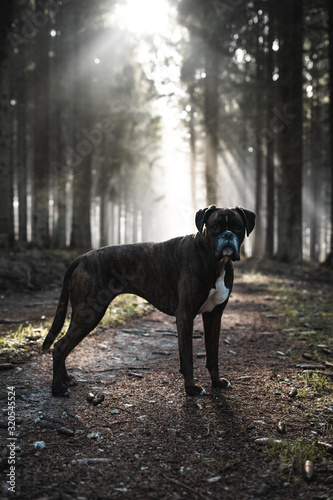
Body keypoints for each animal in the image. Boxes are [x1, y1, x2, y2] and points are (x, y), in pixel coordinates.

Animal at [41, 205, 254, 396]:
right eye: (215, 227)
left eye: (237, 227)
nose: (228, 235)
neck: (215, 262)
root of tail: (81, 258)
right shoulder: (185, 315)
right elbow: (187, 357)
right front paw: (191, 388)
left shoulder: (214, 316)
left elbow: (213, 355)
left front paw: (217, 382)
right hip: (89, 313)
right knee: (60, 346)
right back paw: (58, 388)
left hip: (86, 314)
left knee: (63, 345)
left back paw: (65, 379)